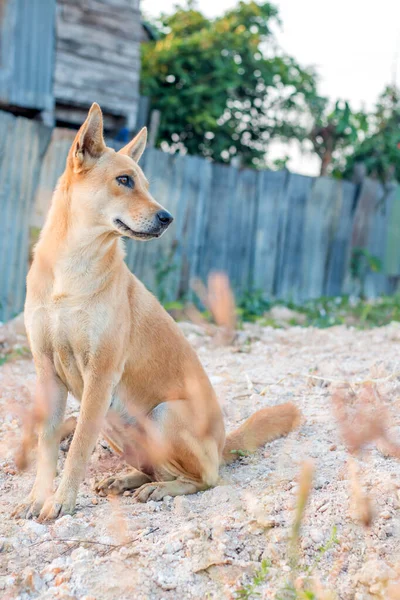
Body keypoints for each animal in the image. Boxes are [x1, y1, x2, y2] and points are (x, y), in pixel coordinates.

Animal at [12, 103, 298, 520]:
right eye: (124, 180)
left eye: (145, 184)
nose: (167, 218)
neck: (72, 268)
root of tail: (223, 444)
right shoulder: (47, 370)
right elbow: (48, 442)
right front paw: (37, 498)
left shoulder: (100, 375)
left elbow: (78, 446)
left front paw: (62, 500)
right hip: (118, 428)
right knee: (154, 468)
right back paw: (126, 480)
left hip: (164, 414)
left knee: (205, 479)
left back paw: (162, 489)